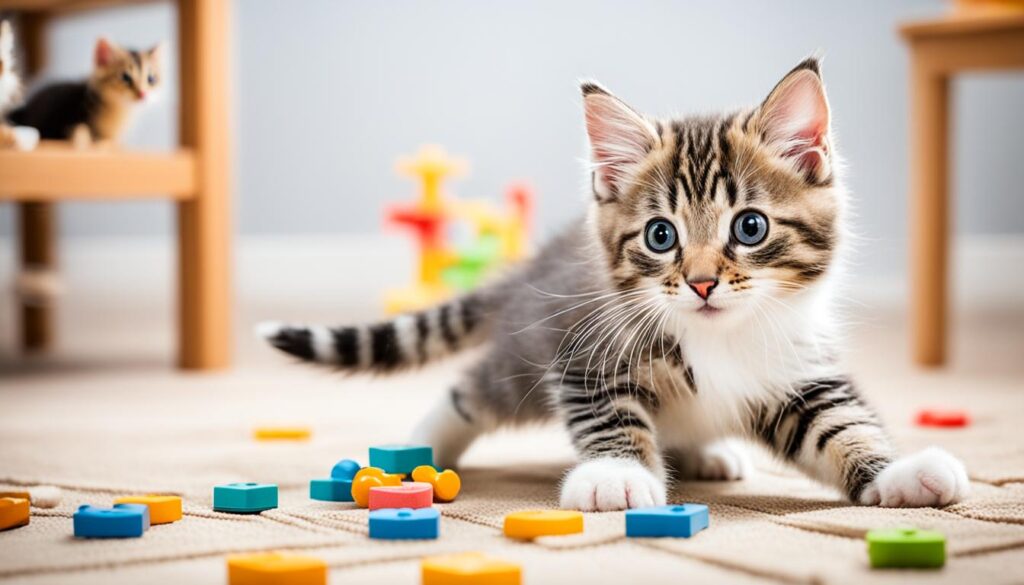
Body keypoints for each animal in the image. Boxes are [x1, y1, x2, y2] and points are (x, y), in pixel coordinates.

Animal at [262, 57, 966, 510]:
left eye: (751, 226)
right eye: (660, 236)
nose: (702, 283)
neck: (715, 338)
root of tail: (540, 261)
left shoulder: (798, 368)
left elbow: (841, 424)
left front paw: (900, 472)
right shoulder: (583, 354)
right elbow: (611, 415)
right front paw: (617, 476)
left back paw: (707, 453)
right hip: (526, 351)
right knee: (472, 390)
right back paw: (418, 445)